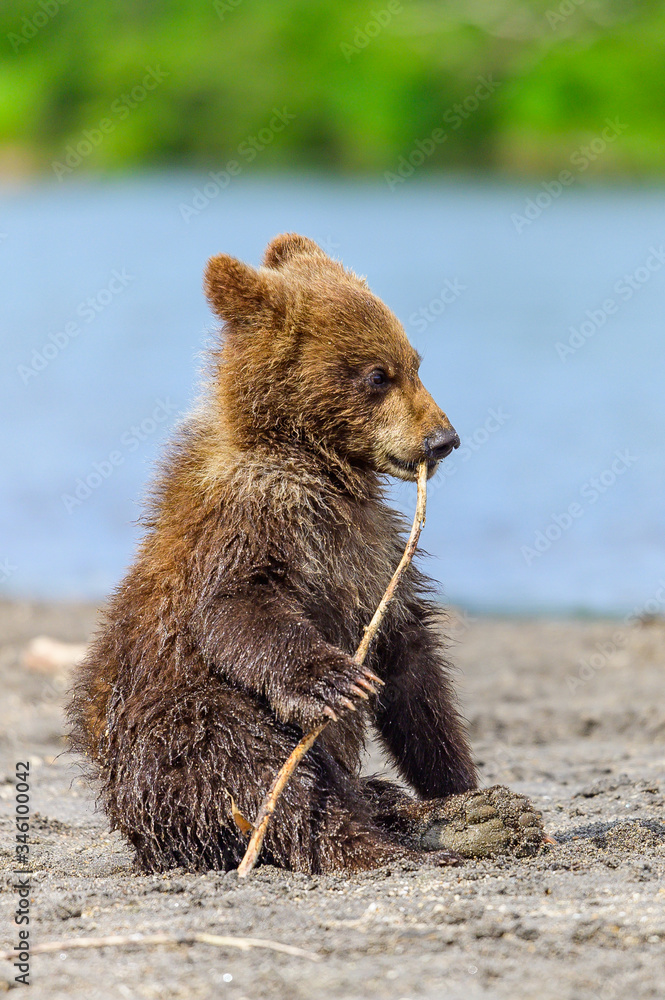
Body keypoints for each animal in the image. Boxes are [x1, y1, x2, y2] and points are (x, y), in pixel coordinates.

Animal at [67, 233, 545, 874]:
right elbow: (236, 607)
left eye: (416, 363)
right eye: (377, 374)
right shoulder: (250, 523)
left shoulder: (375, 552)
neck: (318, 467)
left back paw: (472, 820)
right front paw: (335, 681)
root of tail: (134, 826)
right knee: (266, 775)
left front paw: (462, 783)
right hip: (178, 726)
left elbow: (413, 669)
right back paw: (385, 847)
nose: (443, 440)